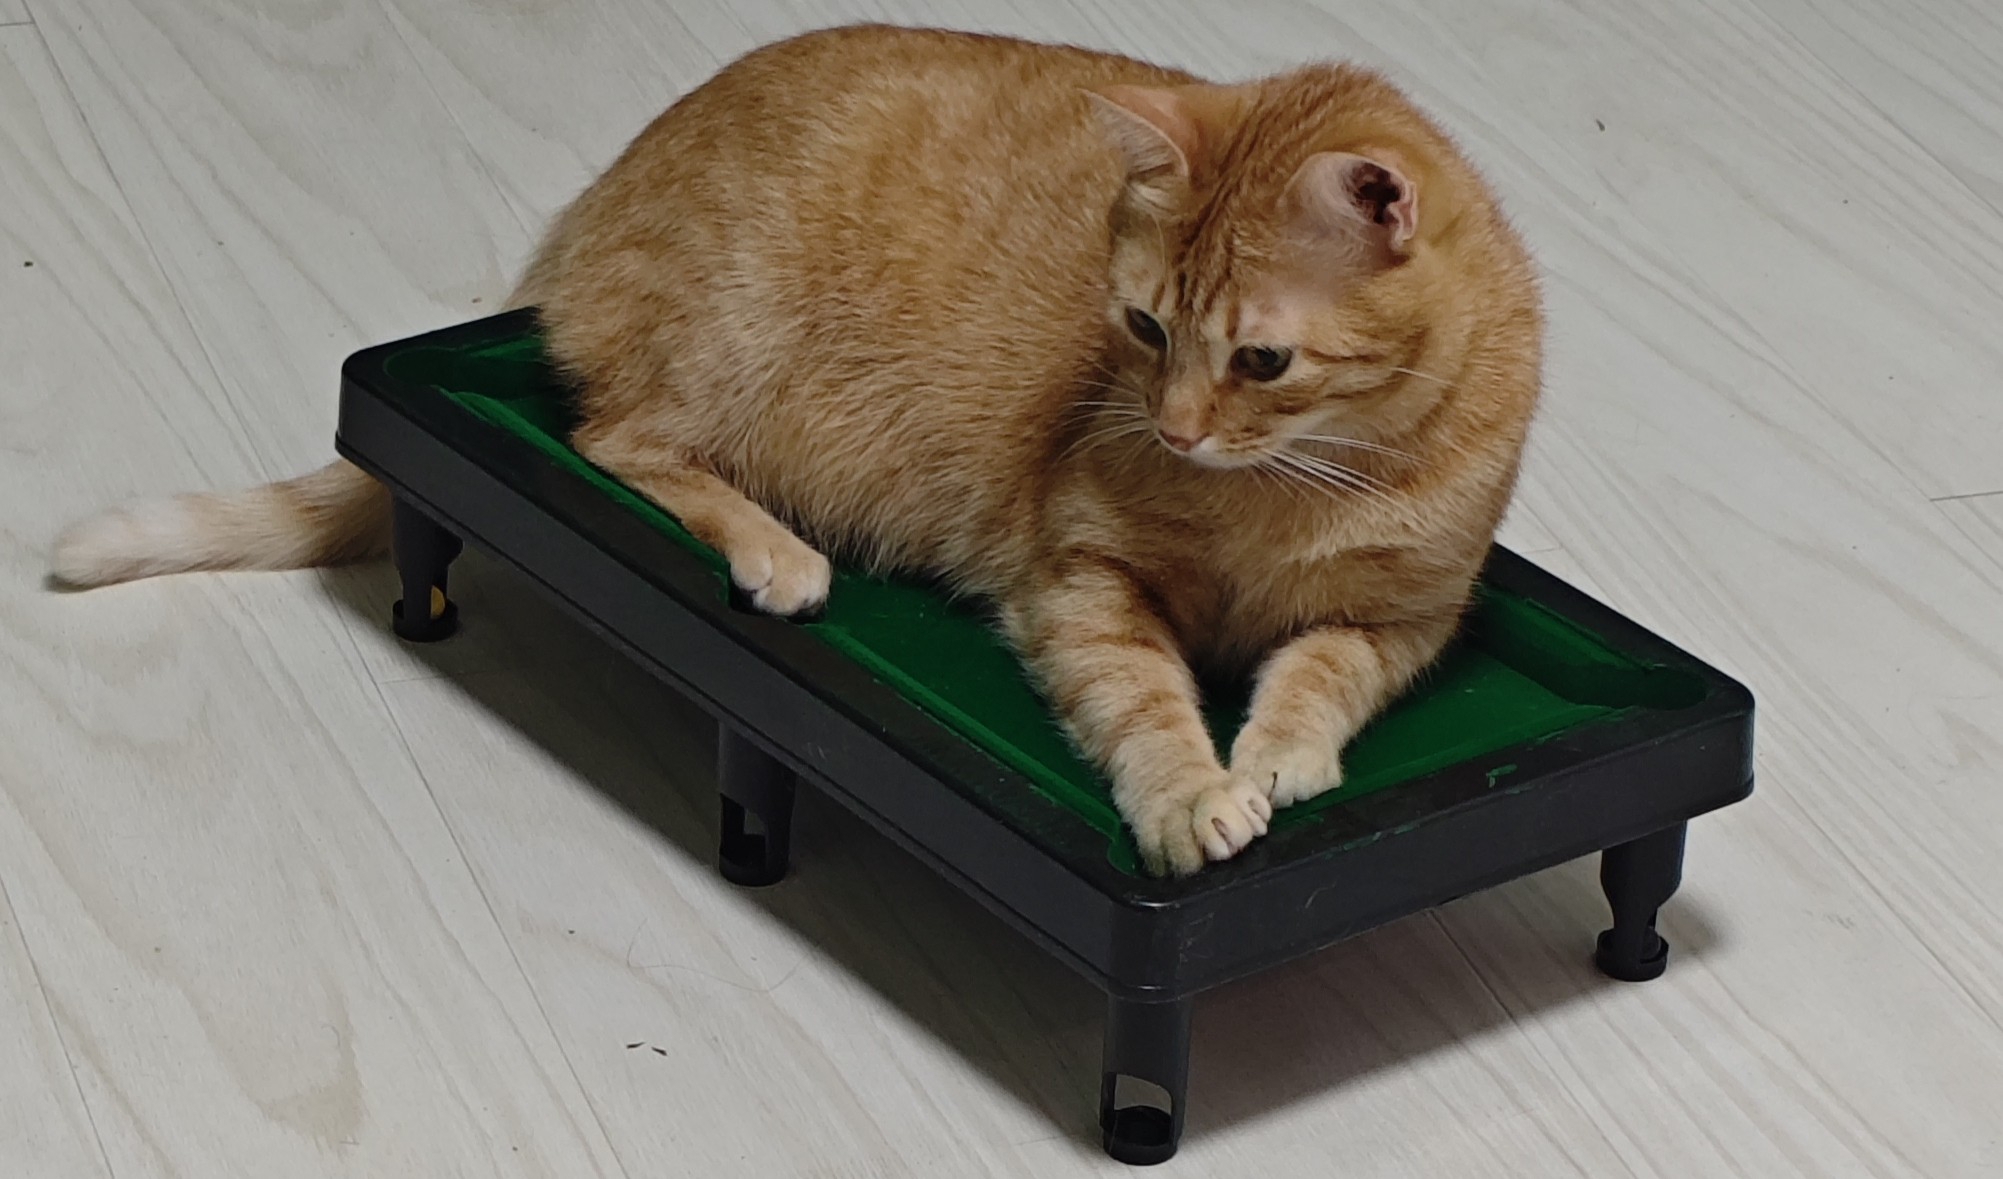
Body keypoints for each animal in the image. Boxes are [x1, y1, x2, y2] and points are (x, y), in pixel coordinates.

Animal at [50, 25, 1542, 876]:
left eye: (1258, 363)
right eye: (1139, 327)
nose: (1171, 425)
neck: (1285, 490)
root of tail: (581, 221)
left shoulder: (1407, 620)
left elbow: (1322, 674)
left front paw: (1277, 754)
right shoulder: (1081, 581)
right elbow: (1140, 699)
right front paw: (1189, 794)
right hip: (731, 344)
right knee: (615, 437)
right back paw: (777, 552)